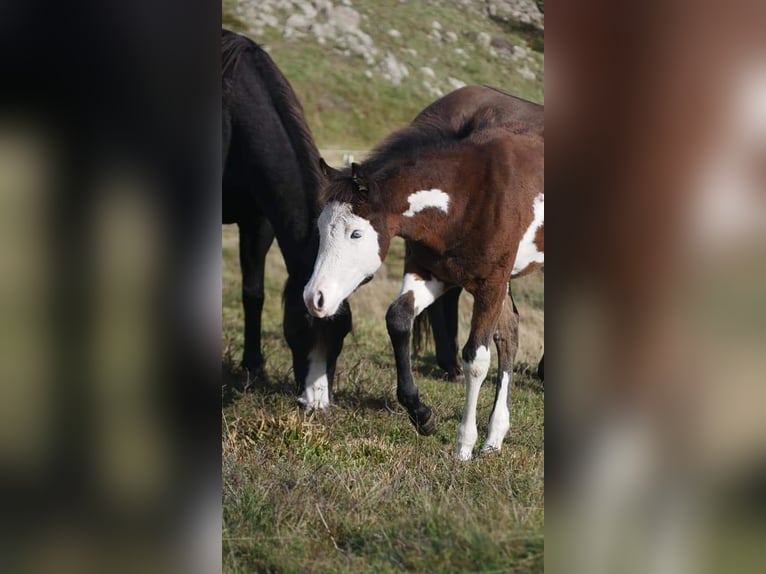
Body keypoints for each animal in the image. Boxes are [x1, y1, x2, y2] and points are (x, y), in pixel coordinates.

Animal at [222, 29, 354, 408]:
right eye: (300, 326)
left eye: (342, 333)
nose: (316, 404)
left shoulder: (258, 222)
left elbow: (253, 293)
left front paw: (253, 366)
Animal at [304, 85, 544, 462]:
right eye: (319, 227)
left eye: (355, 233)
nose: (315, 298)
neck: (469, 196)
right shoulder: (433, 273)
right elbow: (398, 318)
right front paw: (422, 415)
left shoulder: (490, 285)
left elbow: (475, 359)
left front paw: (463, 446)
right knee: (510, 333)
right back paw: (494, 439)